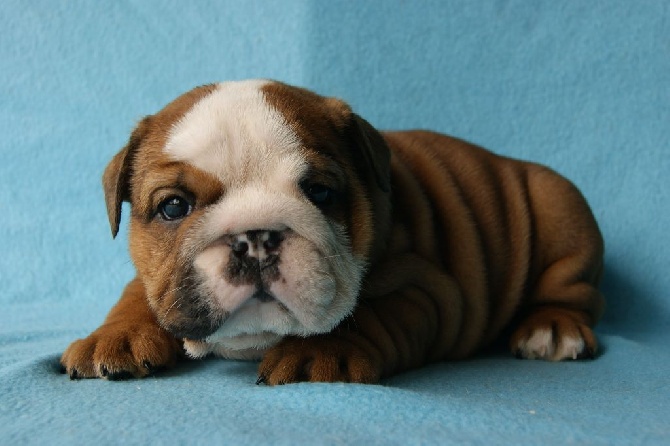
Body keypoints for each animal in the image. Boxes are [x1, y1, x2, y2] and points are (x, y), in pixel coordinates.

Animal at [60, 79, 608, 384]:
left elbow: (368, 316)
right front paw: (116, 336)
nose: (254, 238)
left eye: (320, 192)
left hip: (562, 209)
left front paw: (319, 352)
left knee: (571, 290)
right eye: (174, 207)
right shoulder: (160, 277)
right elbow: (139, 293)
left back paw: (551, 329)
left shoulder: (424, 288)